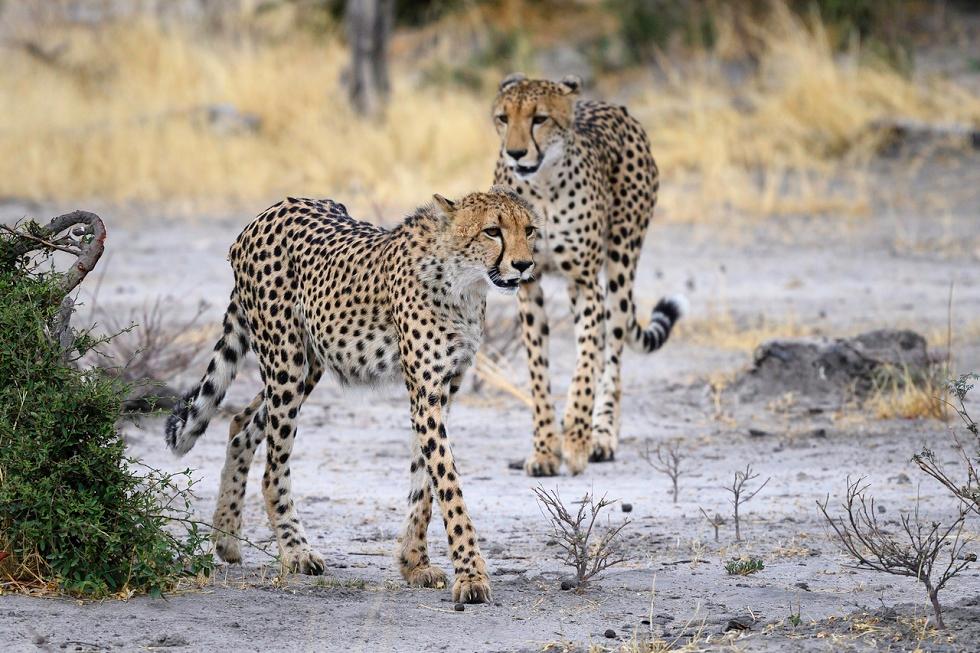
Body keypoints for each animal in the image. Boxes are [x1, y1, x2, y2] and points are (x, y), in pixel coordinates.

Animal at [164, 186, 541, 603]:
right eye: (492, 231)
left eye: (529, 229)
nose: (524, 265)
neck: (463, 283)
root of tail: (267, 212)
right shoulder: (425, 392)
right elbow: (447, 483)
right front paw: (471, 576)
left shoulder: (443, 391)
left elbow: (425, 482)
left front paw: (414, 563)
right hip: (287, 363)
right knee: (273, 467)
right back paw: (295, 551)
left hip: (308, 365)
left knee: (241, 423)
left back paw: (227, 537)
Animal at [491, 73, 686, 477]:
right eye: (503, 117)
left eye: (539, 119)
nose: (515, 153)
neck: (542, 187)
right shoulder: (527, 285)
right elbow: (538, 371)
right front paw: (545, 451)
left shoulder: (584, 282)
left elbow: (584, 368)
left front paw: (577, 443)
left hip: (620, 263)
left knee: (611, 351)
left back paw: (602, 434)